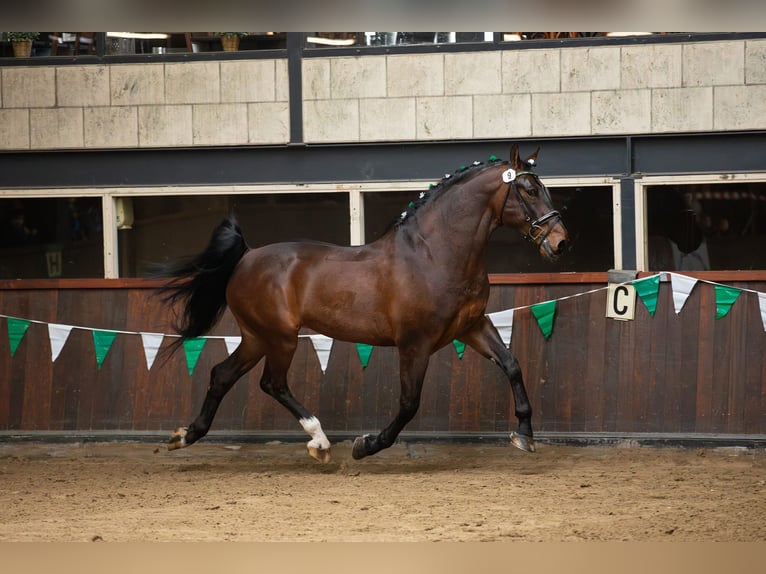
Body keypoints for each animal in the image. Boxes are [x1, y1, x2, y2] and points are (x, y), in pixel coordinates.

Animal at [158, 144, 568, 464]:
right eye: (529, 190)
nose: (560, 241)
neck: (435, 254)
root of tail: (246, 256)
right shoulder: (415, 343)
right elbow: (408, 403)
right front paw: (366, 445)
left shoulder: (471, 327)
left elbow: (512, 364)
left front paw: (524, 435)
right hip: (280, 338)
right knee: (272, 383)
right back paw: (320, 442)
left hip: (258, 337)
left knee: (222, 375)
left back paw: (185, 436)